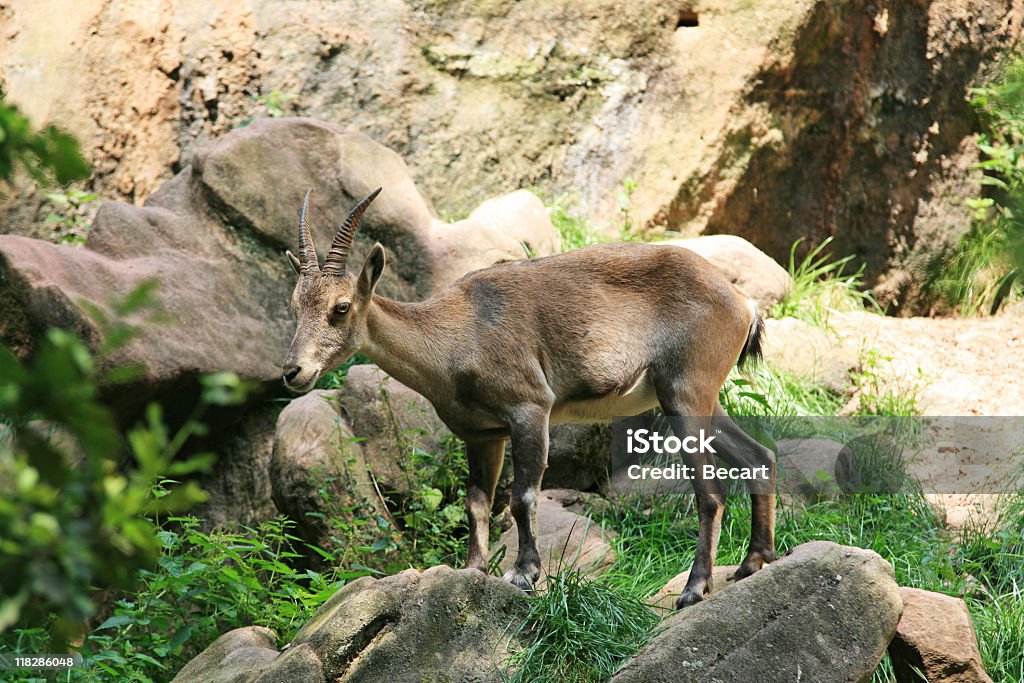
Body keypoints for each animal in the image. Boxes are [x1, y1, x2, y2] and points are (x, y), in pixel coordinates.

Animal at [280, 187, 774, 610]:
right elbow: (477, 503)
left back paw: (694, 589)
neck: (458, 335)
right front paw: (472, 569)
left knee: (711, 491)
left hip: (684, 392)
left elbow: (522, 497)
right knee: (759, 456)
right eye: (295, 305)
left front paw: (524, 573)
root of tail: (742, 303)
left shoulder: (530, 407)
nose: (292, 372)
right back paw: (753, 562)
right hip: (702, 396)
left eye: (341, 307)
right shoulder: (482, 434)